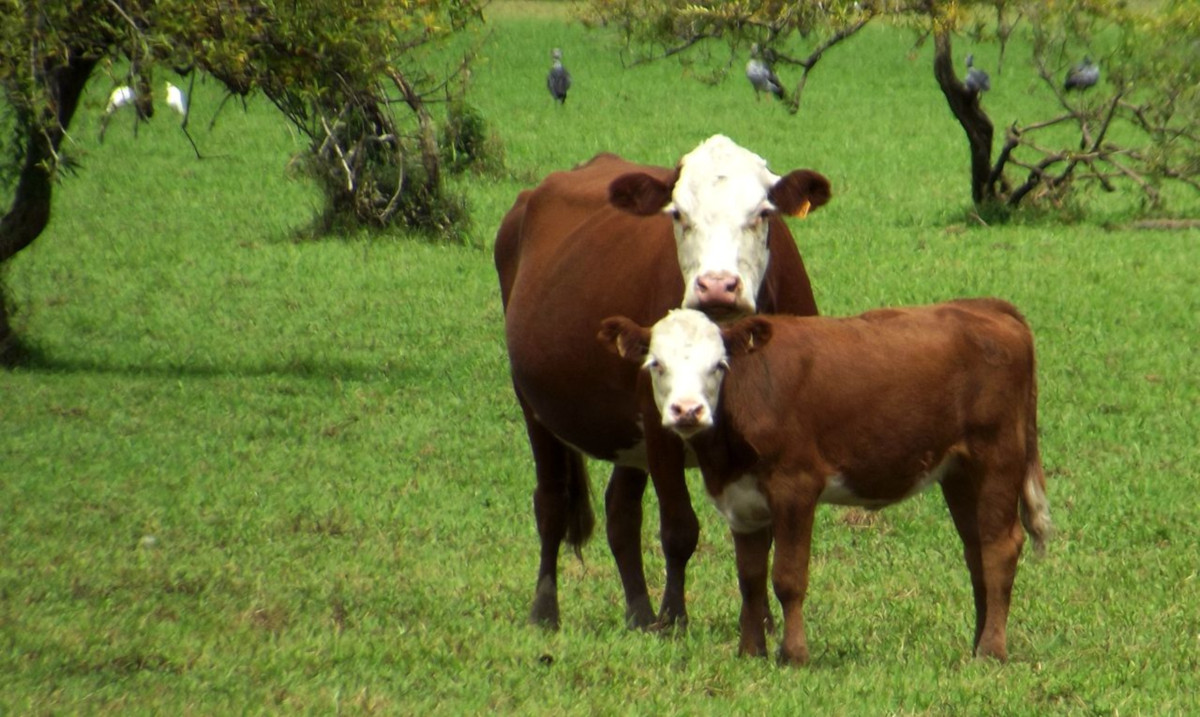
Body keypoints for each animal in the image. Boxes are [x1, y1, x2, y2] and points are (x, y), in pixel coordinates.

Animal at [492, 137, 830, 633]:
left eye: (762, 212)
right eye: (678, 214)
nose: (717, 286)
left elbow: (760, 531)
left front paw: (763, 622)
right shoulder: (660, 424)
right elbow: (679, 528)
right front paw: (674, 619)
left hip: (627, 434)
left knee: (621, 511)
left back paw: (638, 612)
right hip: (533, 403)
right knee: (551, 502)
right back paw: (546, 610)